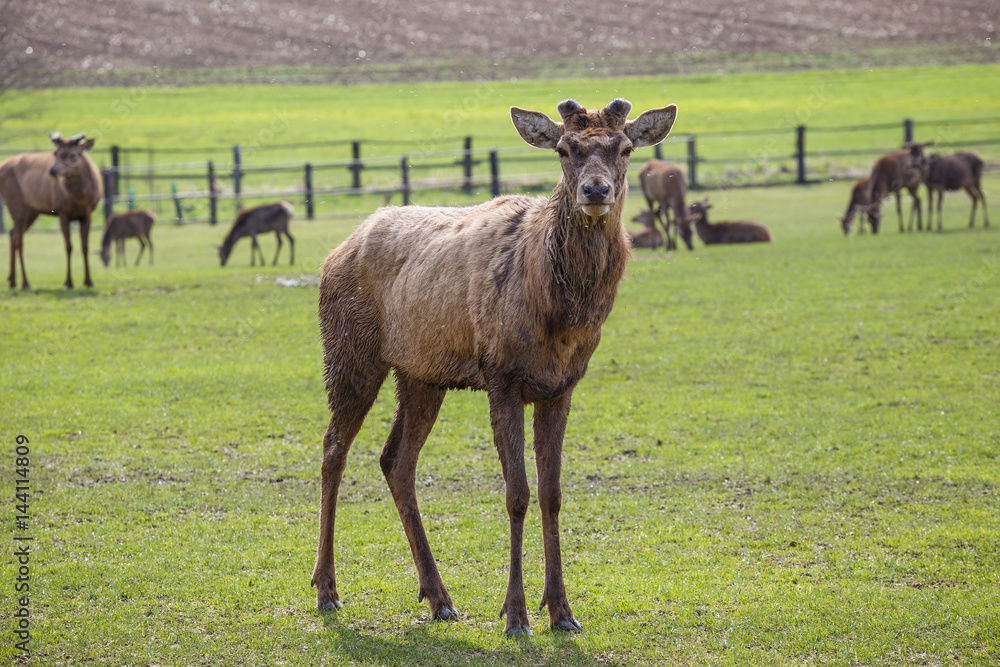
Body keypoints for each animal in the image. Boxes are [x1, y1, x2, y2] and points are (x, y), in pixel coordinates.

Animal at [0, 132, 102, 289]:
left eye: (73, 155)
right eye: (55, 153)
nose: (53, 170)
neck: (80, 199)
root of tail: (1, 165)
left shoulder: (87, 214)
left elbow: (85, 247)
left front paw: (88, 281)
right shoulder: (63, 212)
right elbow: (68, 247)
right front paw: (68, 282)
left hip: (32, 210)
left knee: (12, 234)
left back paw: (12, 280)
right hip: (15, 203)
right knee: (19, 239)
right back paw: (25, 282)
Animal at [312, 98, 677, 637]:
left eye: (626, 147)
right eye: (564, 148)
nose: (595, 190)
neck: (560, 318)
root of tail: (334, 253)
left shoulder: (562, 386)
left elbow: (552, 493)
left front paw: (562, 611)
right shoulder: (500, 376)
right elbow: (517, 494)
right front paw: (516, 615)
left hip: (421, 374)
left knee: (395, 459)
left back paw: (439, 597)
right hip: (348, 350)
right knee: (334, 447)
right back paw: (328, 589)